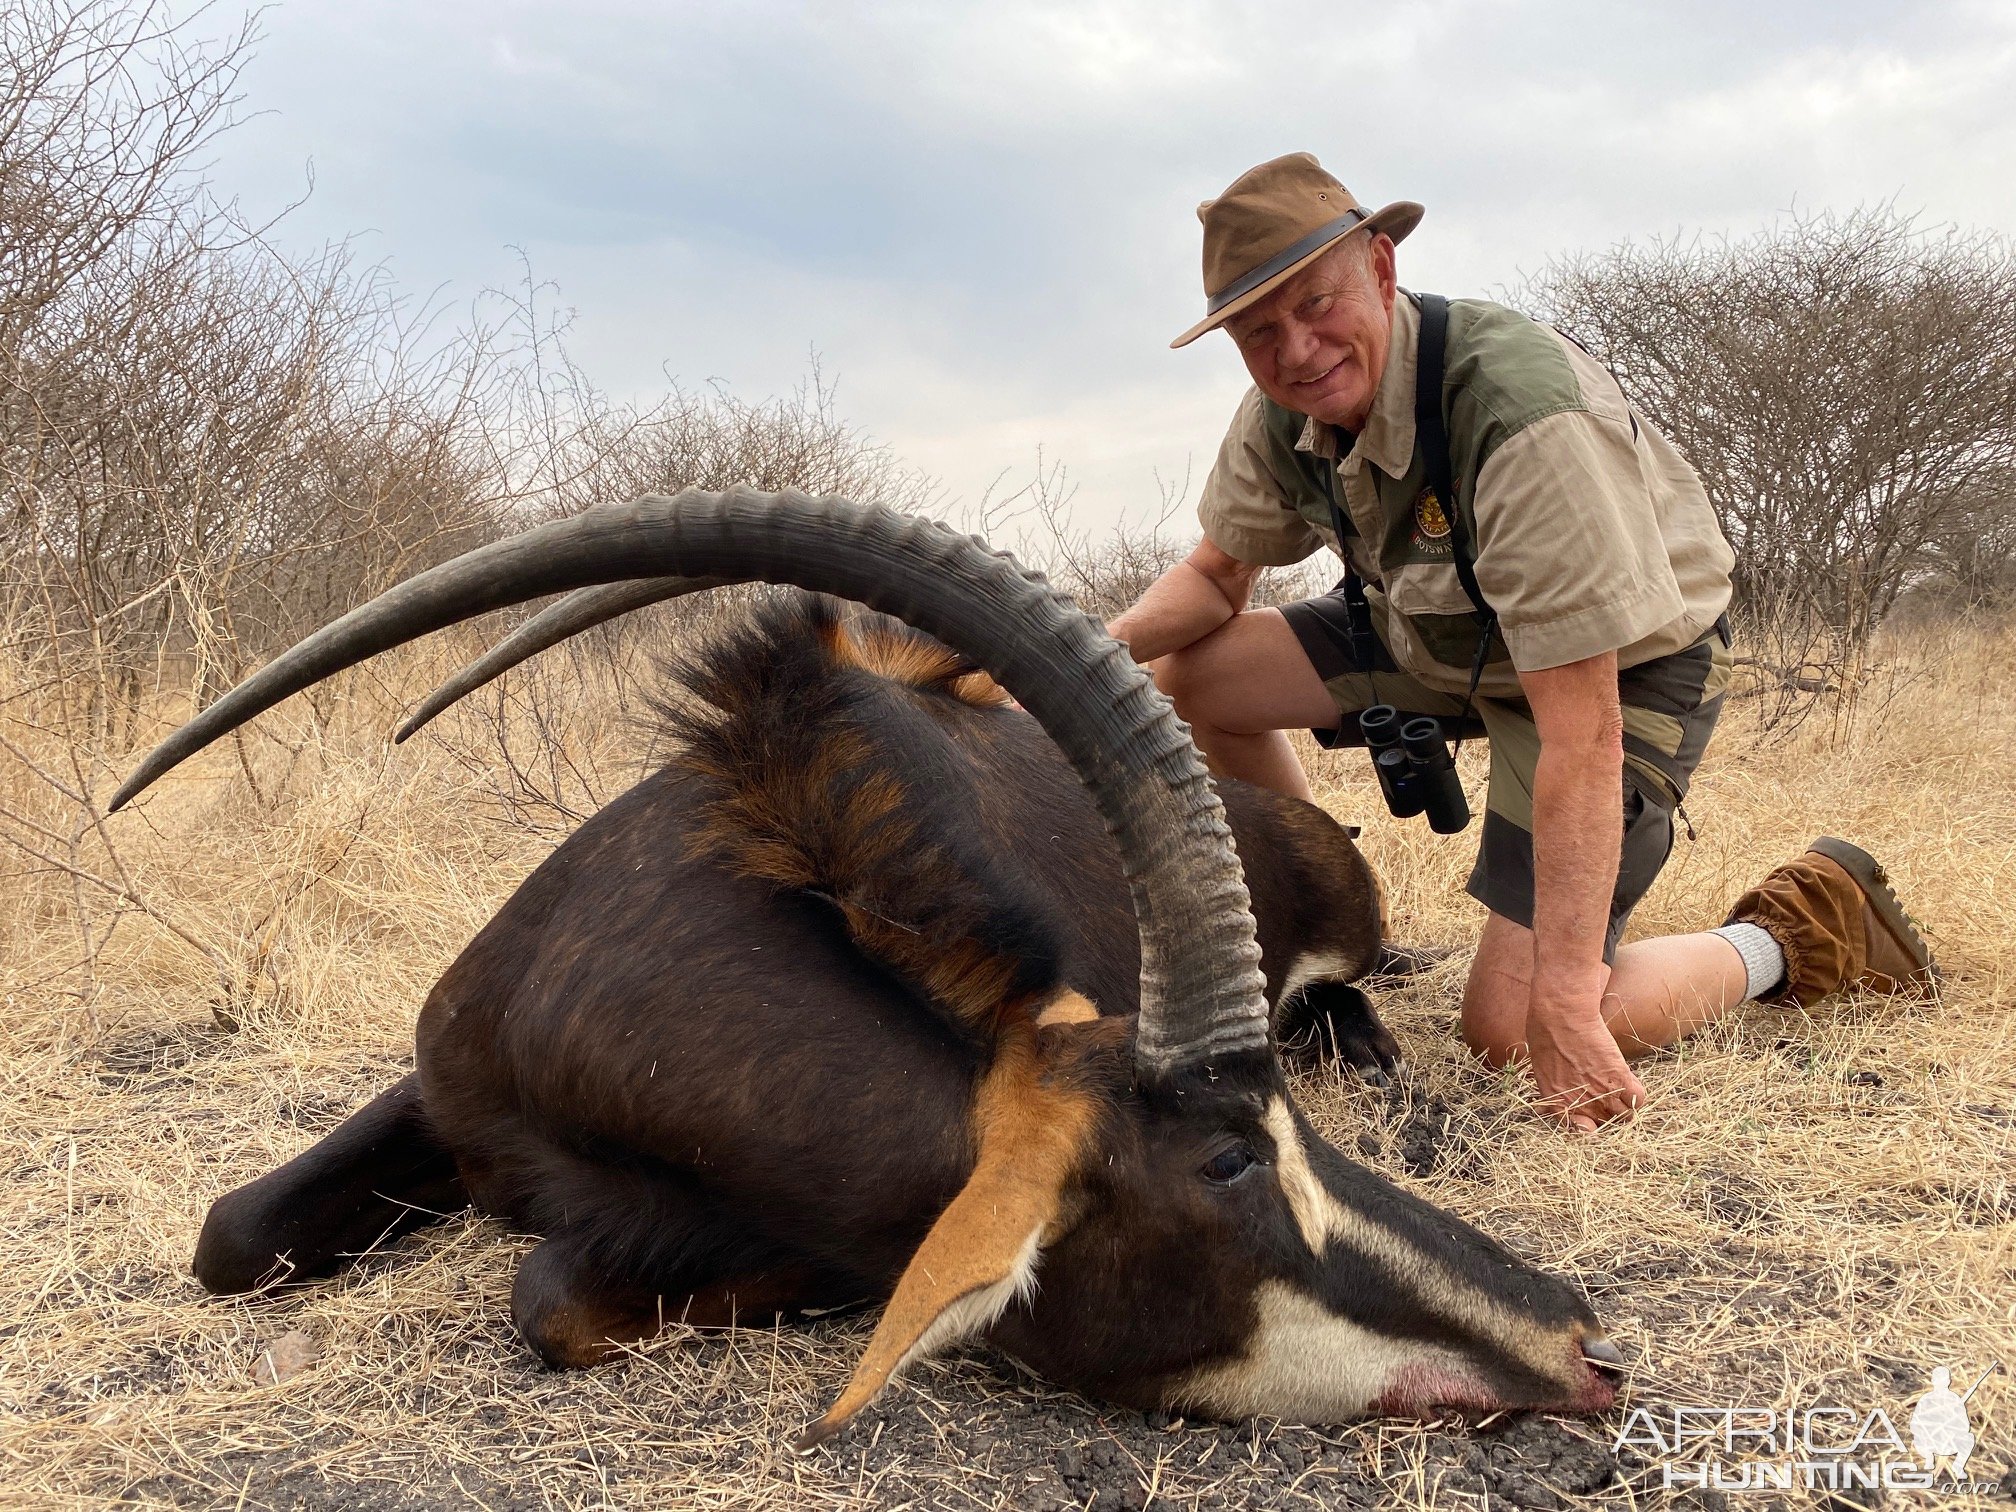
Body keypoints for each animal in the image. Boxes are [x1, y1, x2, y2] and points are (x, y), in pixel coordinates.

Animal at [114, 493, 1620, 1443]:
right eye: (1230, 1162)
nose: (1580, 1338)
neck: (625, 1000)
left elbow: (553, 1294)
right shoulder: (440, 1087)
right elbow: (230, 1236)